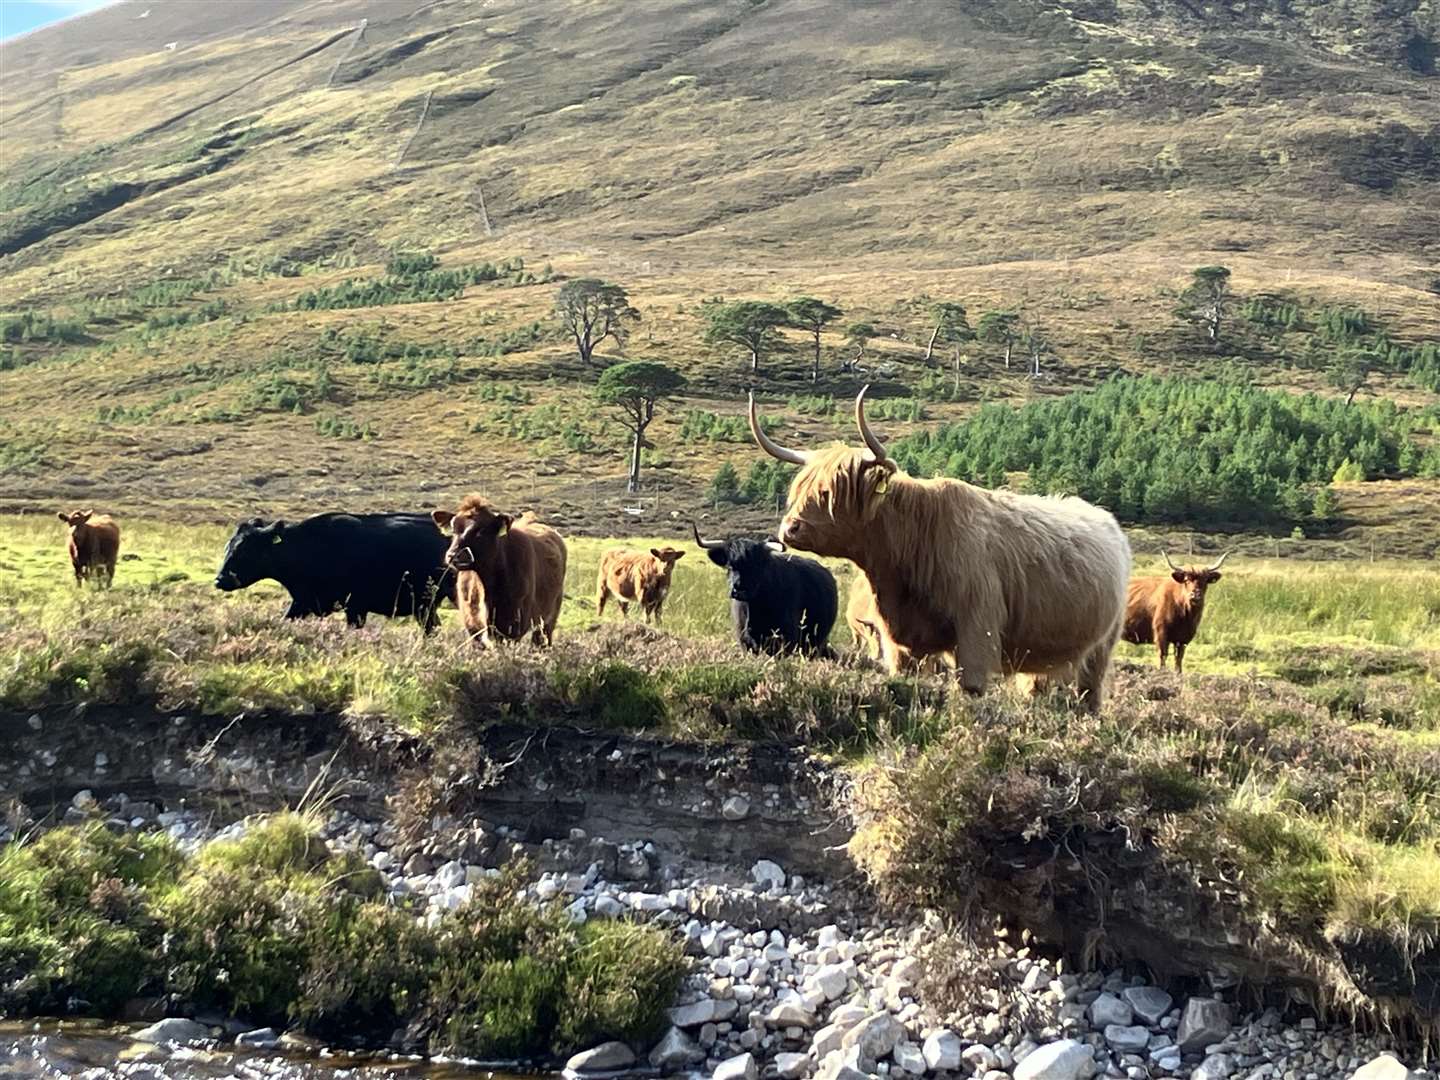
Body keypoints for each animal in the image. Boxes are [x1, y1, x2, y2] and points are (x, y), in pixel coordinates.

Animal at [211, 515, 449, 633]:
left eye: (245, 550)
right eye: (228, 546)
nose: (220, 580)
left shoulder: (355, 606)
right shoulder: (304, 602)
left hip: (427, 604)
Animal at [426, 501, 567, 650]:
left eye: (481, 531)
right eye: (453, 530)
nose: (453, 555)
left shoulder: (514, 627)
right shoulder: (474, 627)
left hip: (548, 618)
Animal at [691, 527, 840, 659]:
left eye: (757, 565)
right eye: (730, 565)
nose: (738, 589)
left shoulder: (786, 639)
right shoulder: (745, 641)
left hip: (815, 640)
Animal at [748, 385, 1128, 711]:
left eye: (829, 493)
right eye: (800, 489)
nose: (790, 528)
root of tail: (1108, 521)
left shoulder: (977, 630)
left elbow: (970, 688)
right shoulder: (898, 645)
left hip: (1101, 647)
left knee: (1090, 693)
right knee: (1036, 686)